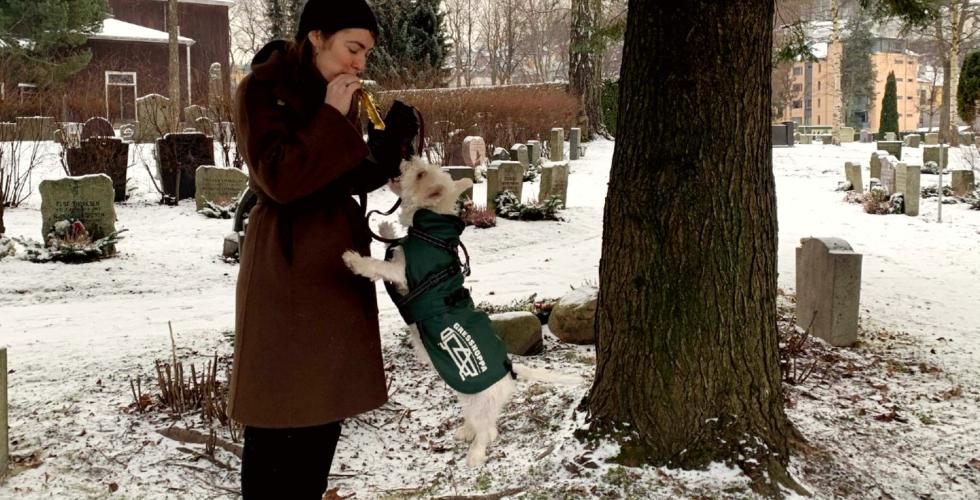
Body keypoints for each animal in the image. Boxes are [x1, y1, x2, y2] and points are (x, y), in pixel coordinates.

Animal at [342, 158, 580, 466]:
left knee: (488, 431)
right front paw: (385, 225)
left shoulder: (401, 275)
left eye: (420, 173)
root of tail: (510, 370)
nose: (405, 159)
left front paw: (354, 260)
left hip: (480, 402)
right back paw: (466, 432)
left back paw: (475, 454)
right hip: (468, 396)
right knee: (484, 424)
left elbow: (379, 265)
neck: (432, 232)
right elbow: (392, 243)